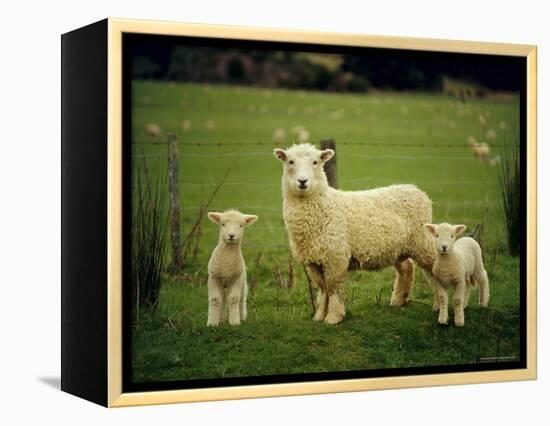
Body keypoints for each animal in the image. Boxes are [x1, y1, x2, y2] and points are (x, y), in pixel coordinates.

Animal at [274, 143, 438, 322]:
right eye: (290, 161)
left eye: (315, 162)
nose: (303, 181)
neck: (324, 206)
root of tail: (415, 189)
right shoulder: (314, 260)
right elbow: (323, 288)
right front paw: (319, 316)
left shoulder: (336, 257)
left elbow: (333, 287)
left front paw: (333, 317)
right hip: (398, 247)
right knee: (406, 267)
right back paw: (398, 300)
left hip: (422, 241)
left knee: (436, 269)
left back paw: (441, 304)